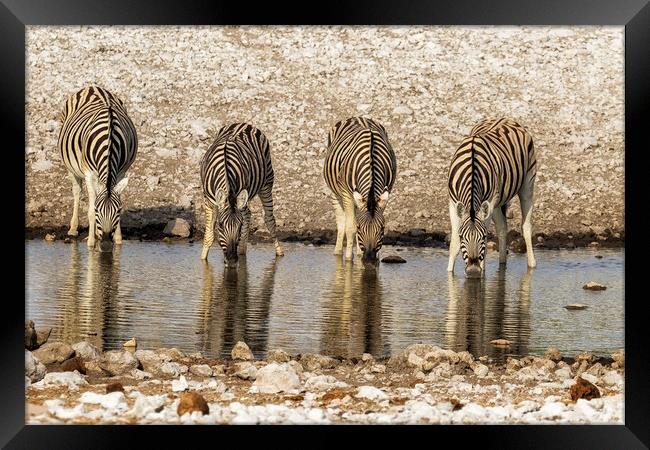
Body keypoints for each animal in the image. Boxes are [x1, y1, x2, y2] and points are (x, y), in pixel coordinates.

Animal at [57, 85, 137, 253]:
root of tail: (93, 86)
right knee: (77, 191)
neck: (110, 140)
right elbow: (90, 211)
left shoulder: (121, 172)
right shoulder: (89, 173)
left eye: (118, 211)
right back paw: (73, 228)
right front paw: (91, 243)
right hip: (70, 167)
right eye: (98, 211)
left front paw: (118, 239)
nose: (106, 245)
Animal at [199, 121, 282, 266]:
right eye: (220, 225)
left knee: (269, 219)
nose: (232, 260)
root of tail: (244, 123)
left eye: (240, 226)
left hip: (267, 182)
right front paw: (203, 260)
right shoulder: (208, 200)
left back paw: (278, 252)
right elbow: (209, 234)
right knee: (248, 213)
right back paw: (242, 251)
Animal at [322, 117, 394, 264]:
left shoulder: (385, 192)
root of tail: (358, 117)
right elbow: (351, 228)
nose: (370, 258)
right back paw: (339, 252)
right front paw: (349, 259)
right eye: (360, 228)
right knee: (341, 221)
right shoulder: (346, 194)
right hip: (335, 192)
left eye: (382, 228)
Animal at [446, 118, 536, 276]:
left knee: (526, 226)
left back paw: (531, 265)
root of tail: (505, 118)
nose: (473, 271)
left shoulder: (487, 204)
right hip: (497, 202)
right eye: (462, 236)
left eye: (482, 237)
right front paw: (449, 273)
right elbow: (454, 245)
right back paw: (502, 264)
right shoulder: (453, 202)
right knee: (502, 227)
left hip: (527, 185)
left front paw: (482, 271)